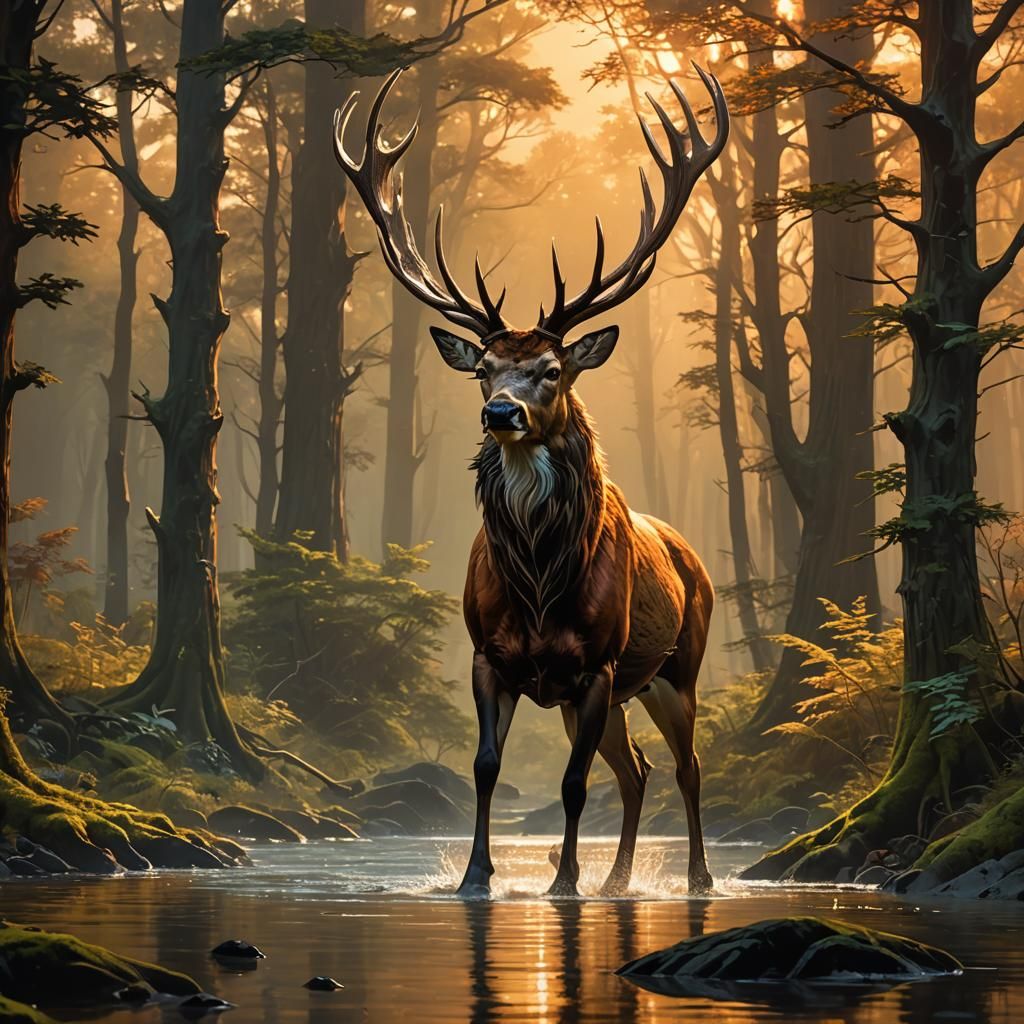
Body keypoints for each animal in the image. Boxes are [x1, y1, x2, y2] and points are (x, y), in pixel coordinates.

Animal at [335, 66, 728, 897]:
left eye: (551, 369)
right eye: (483, 367)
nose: (500, 412)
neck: (544, 584)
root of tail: (692, 557)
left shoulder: (597, 663)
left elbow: (574, 783)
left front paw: (561, 881)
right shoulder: (493, 657)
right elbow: (485, 767)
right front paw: (476, 876)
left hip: (674, 668)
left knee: (686, 766)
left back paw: (697, 878)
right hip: (617, 693)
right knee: (638, 770)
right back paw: (618, 880)